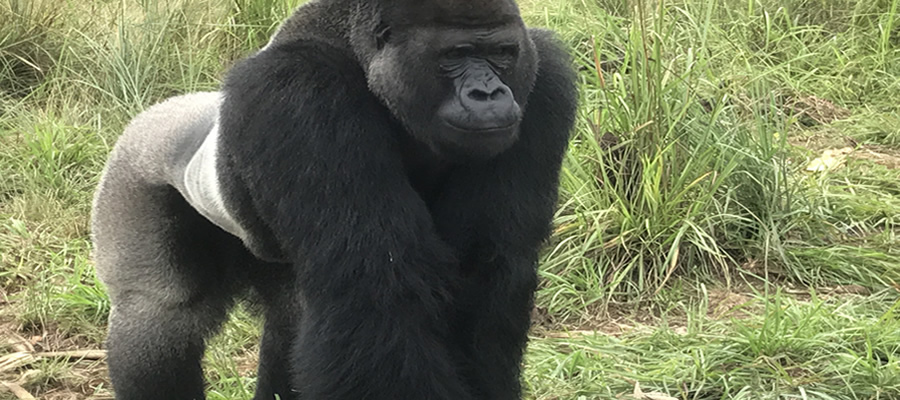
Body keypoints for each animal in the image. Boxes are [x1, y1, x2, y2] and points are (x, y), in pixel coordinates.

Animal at [89, 0, 576, 400]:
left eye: (502, 53)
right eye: (453, 56)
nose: (488, 94)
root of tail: (155, 113)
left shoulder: (543, 81)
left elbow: (486, 272)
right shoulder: (301, 91)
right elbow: (374, 285)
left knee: (289, 315)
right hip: (129, 181)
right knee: (159, 319)